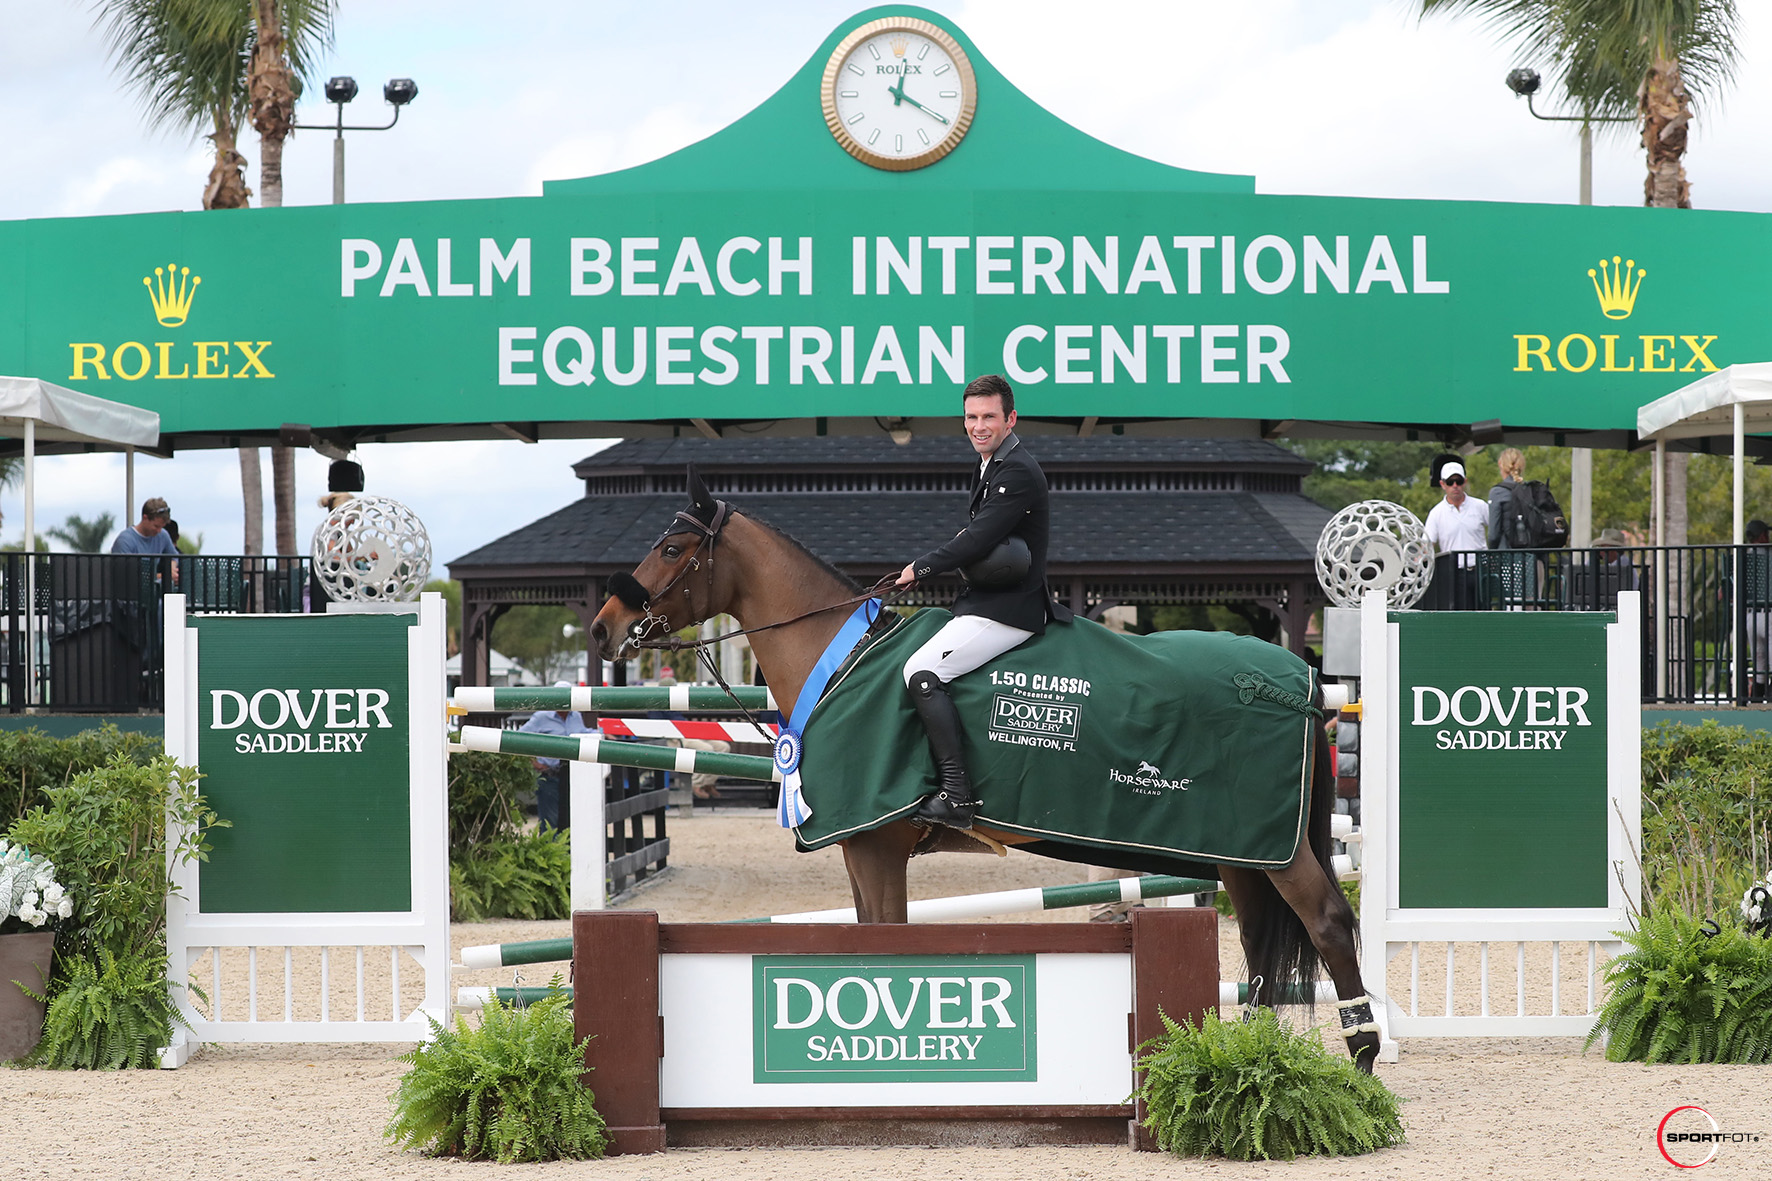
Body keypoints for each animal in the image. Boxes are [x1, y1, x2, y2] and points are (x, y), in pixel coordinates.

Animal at [588, 468, 1375, 1063]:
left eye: (671, 546)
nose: (602, 628)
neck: (838, 660)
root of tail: (1297, 680)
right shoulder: (859, 851)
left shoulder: (877, 846)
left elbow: (890, 944)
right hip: (1243, 850)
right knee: (1261, 943)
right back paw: (1247, 1058)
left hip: (1273, 850)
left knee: (1329, 921)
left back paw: (1360, 1055)